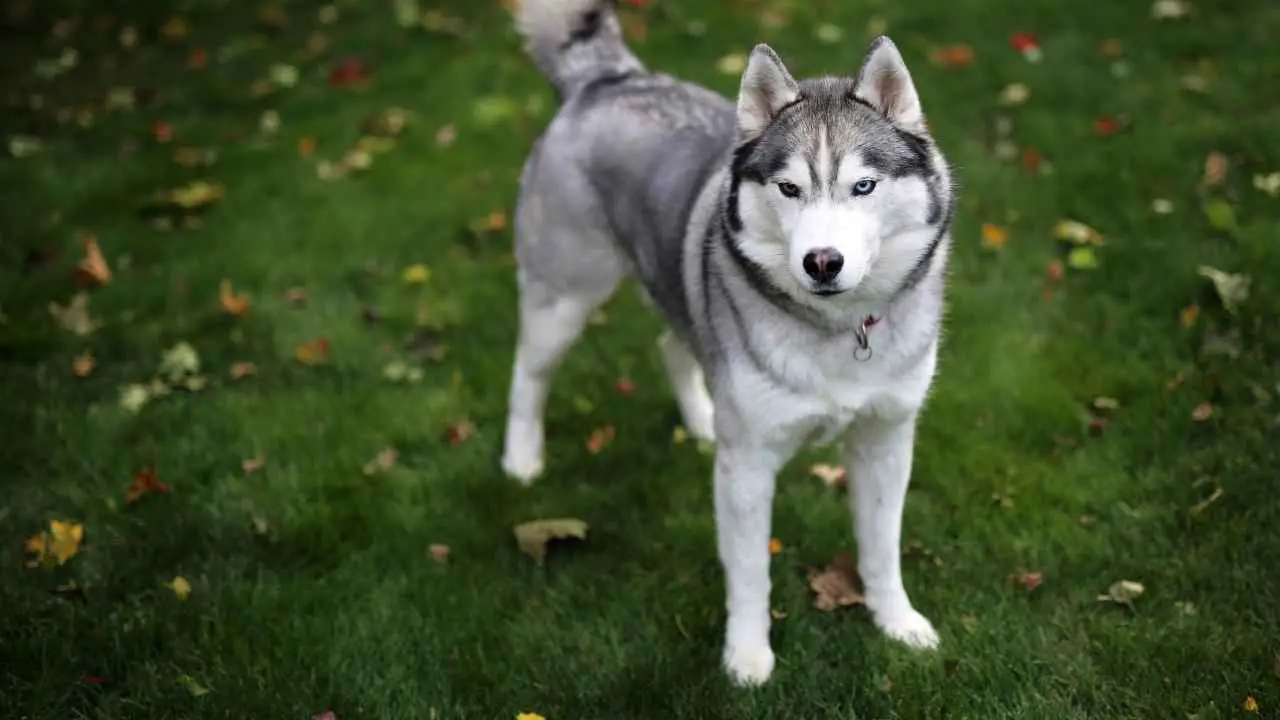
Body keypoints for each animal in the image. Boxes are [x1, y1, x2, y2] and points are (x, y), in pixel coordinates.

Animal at [499, 0, 952, 681]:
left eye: (864, 187)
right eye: (789, 189)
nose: (822, 262)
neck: (837, 332)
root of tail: (611, 78)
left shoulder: (886, 442)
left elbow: (881, 546)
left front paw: (895, 621)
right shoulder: (748, 469)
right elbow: (749, 571)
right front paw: (747, 654)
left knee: (672, 346)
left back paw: (702, 421)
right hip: (565, 295)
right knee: (529, 373)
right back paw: (521, 459)